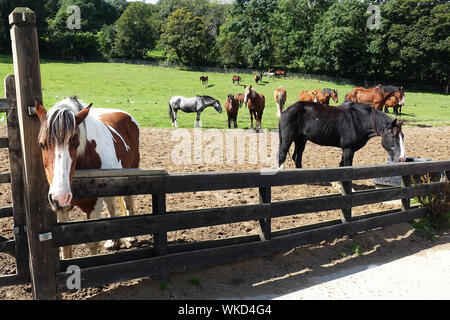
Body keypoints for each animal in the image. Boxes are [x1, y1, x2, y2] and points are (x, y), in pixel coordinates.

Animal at [35, 96, 140, 258]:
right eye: (42, 145)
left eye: (76, 144)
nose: (61, 197)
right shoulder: (61, 210)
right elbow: (66, 249)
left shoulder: (93, 206)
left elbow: (92, 244)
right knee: (111, 206)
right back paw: (113, 241)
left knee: (128, 204)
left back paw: (131, 238)